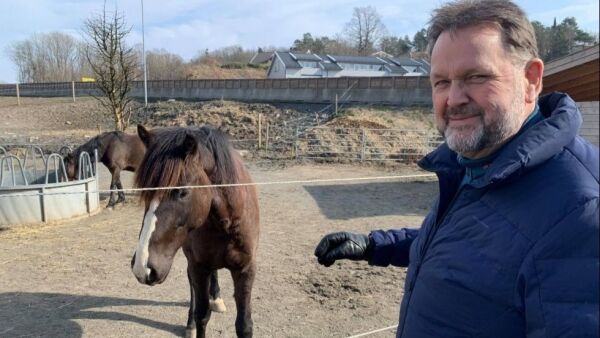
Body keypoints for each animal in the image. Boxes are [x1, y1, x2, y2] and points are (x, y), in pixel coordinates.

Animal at [131, 125, 260, 338]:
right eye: (145, 191)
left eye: (182, 192)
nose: (143, 267)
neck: (225, 223)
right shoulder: (199, 266)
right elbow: (202, 314)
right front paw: (194, 322)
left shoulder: (245, 269)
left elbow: (244, 325)